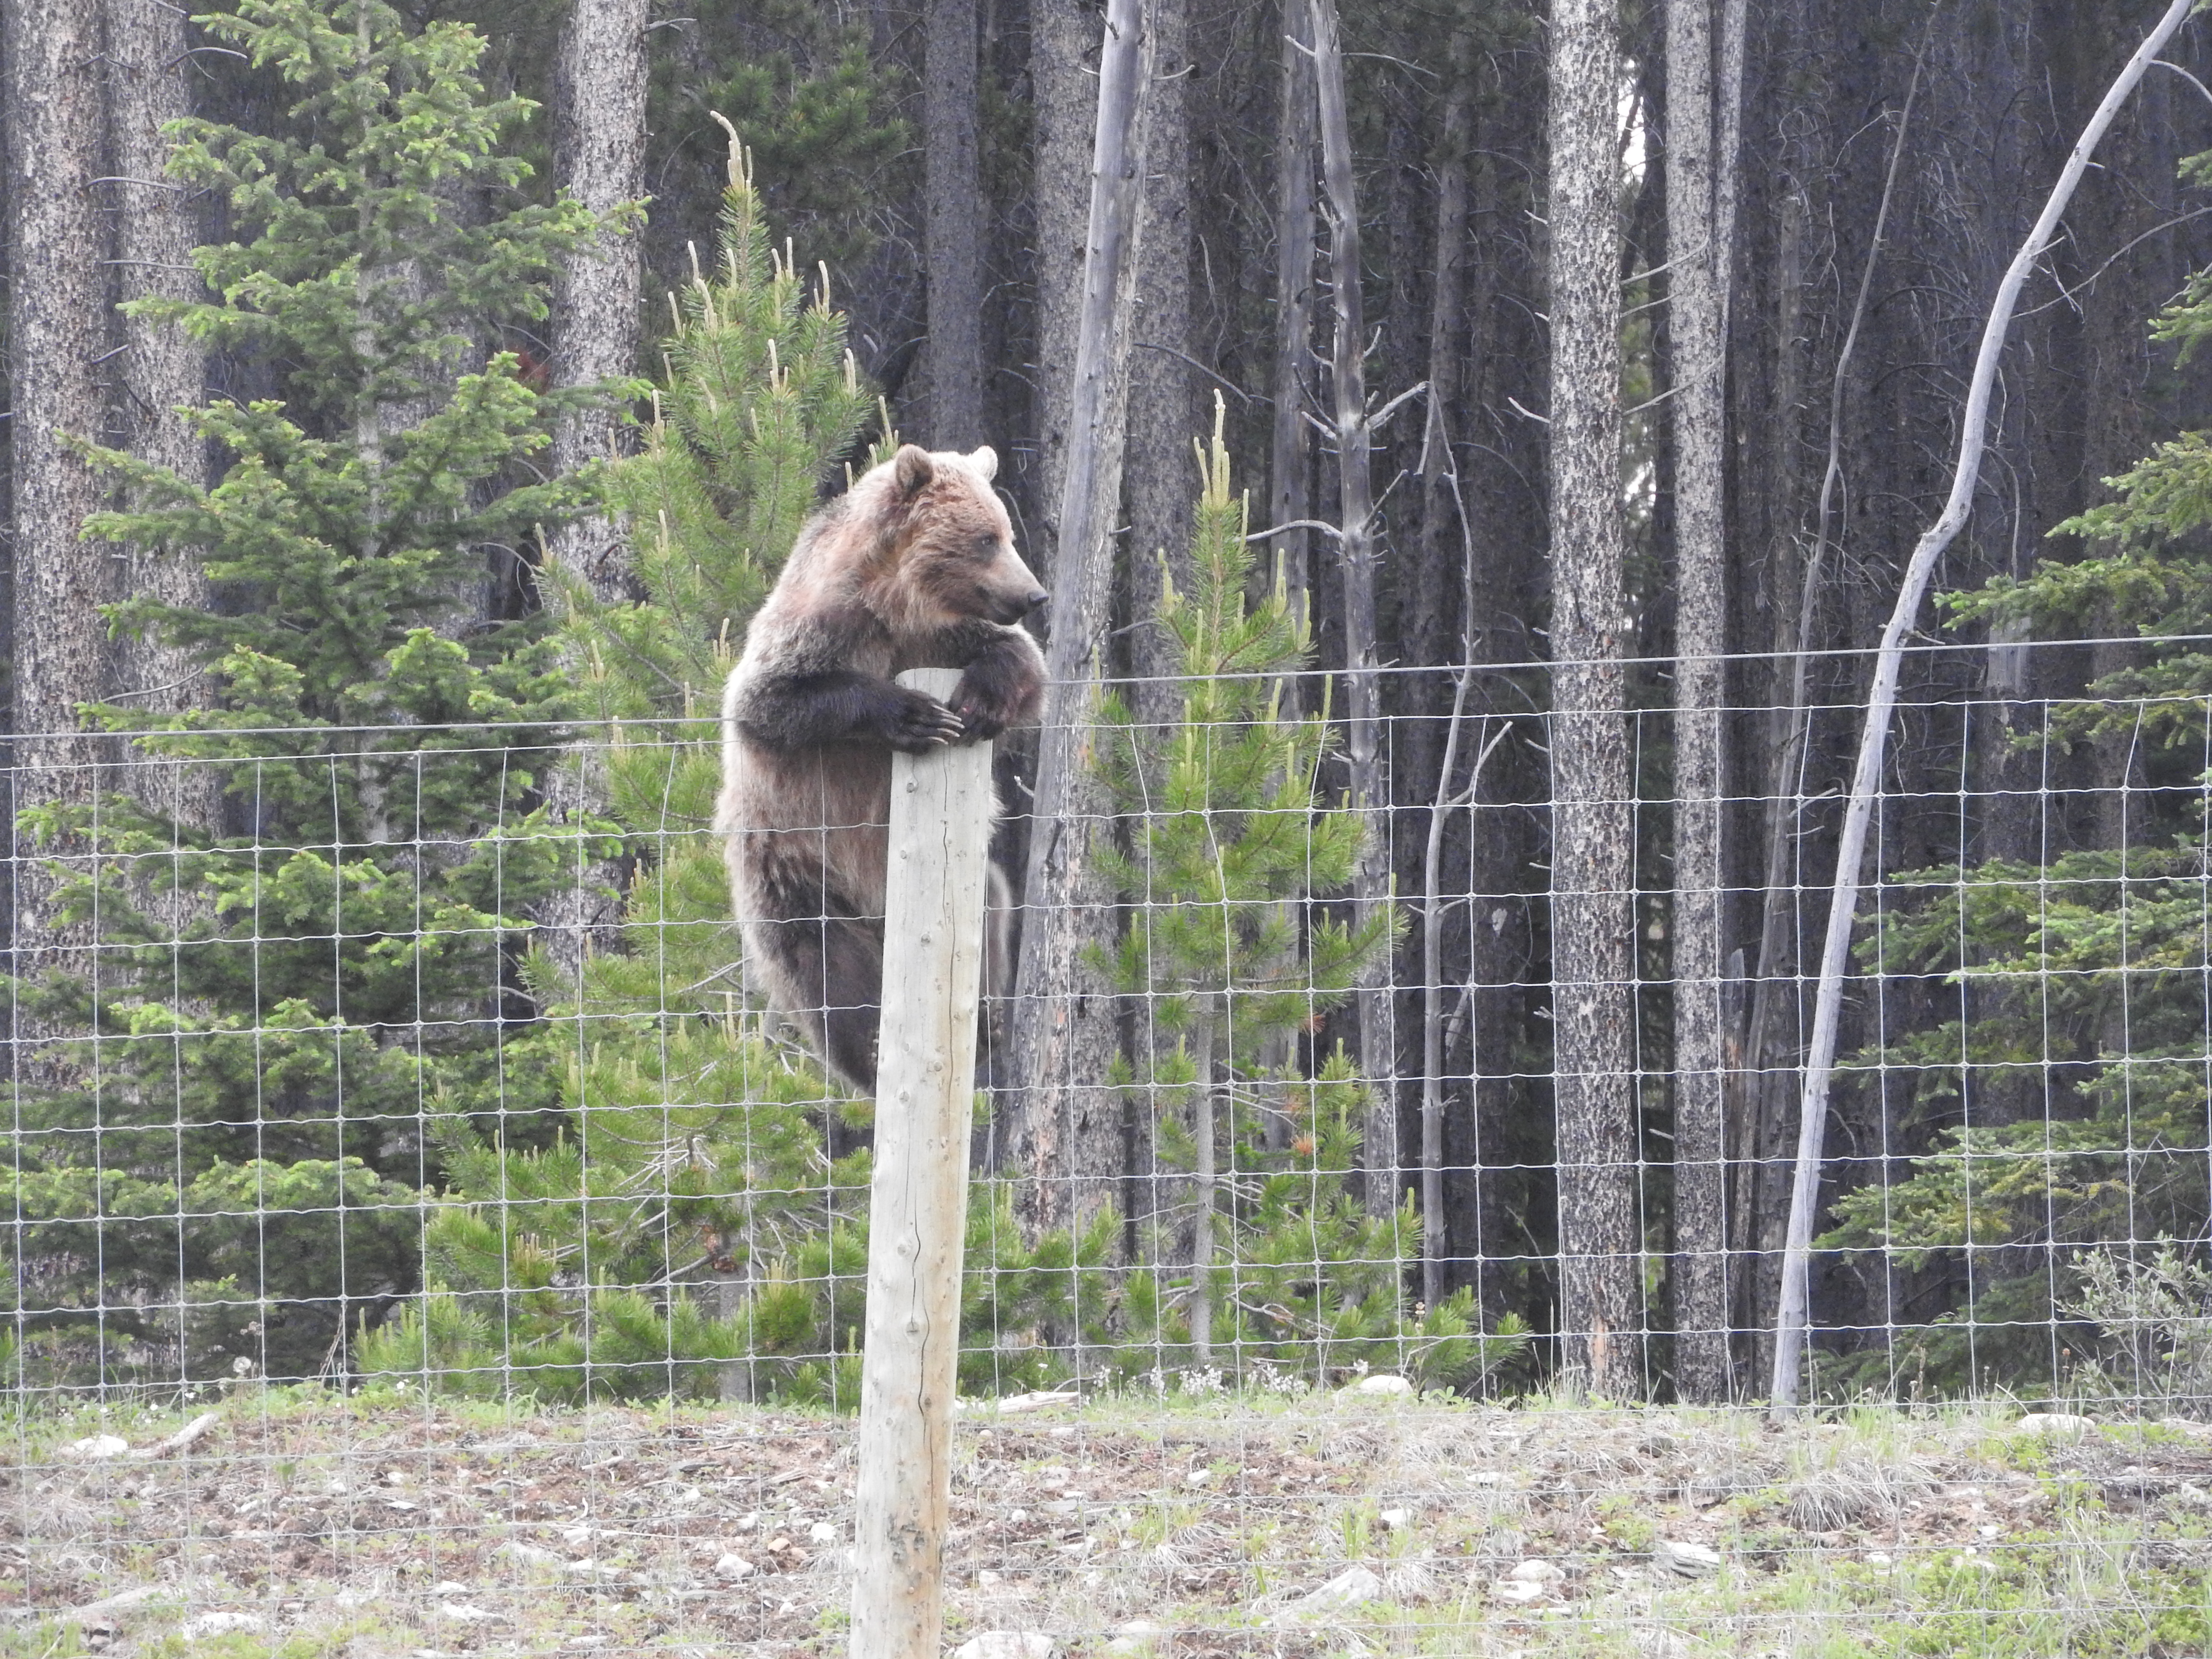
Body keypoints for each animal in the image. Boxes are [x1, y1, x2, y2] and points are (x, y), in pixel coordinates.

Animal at [716, 442, 1044, 1097]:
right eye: (986, 539)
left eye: (1006, 533)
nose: (1034, 595)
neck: (899, 604)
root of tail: (880, 913)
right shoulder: (816, 631)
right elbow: (771, 703)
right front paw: (915, 716)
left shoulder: (947, 637)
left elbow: (1025, 664)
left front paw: (981, 703)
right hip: (795, 874)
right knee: (823, 967)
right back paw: (869, 1049)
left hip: (974, 888)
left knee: (991, 909)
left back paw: (988, 1021)